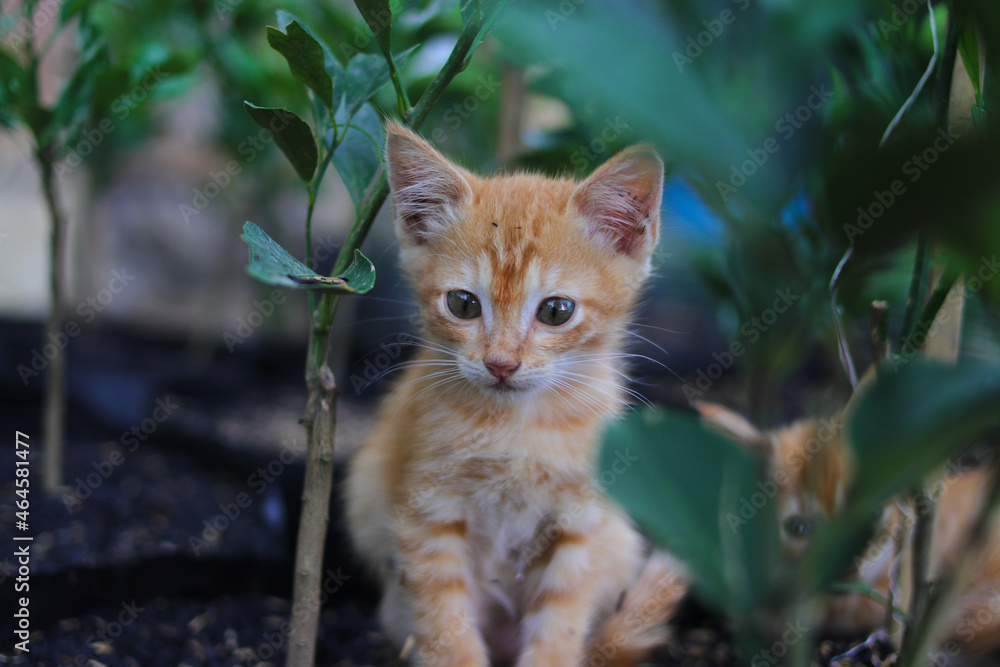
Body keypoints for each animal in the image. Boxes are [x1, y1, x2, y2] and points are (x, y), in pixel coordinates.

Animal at [348, 126, 684, 667]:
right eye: (463, 304)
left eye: (556, 311)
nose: (501, 364)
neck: (517, 425)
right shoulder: (426, 512)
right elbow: (445, 623)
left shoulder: (582, 519)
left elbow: (561, 623)